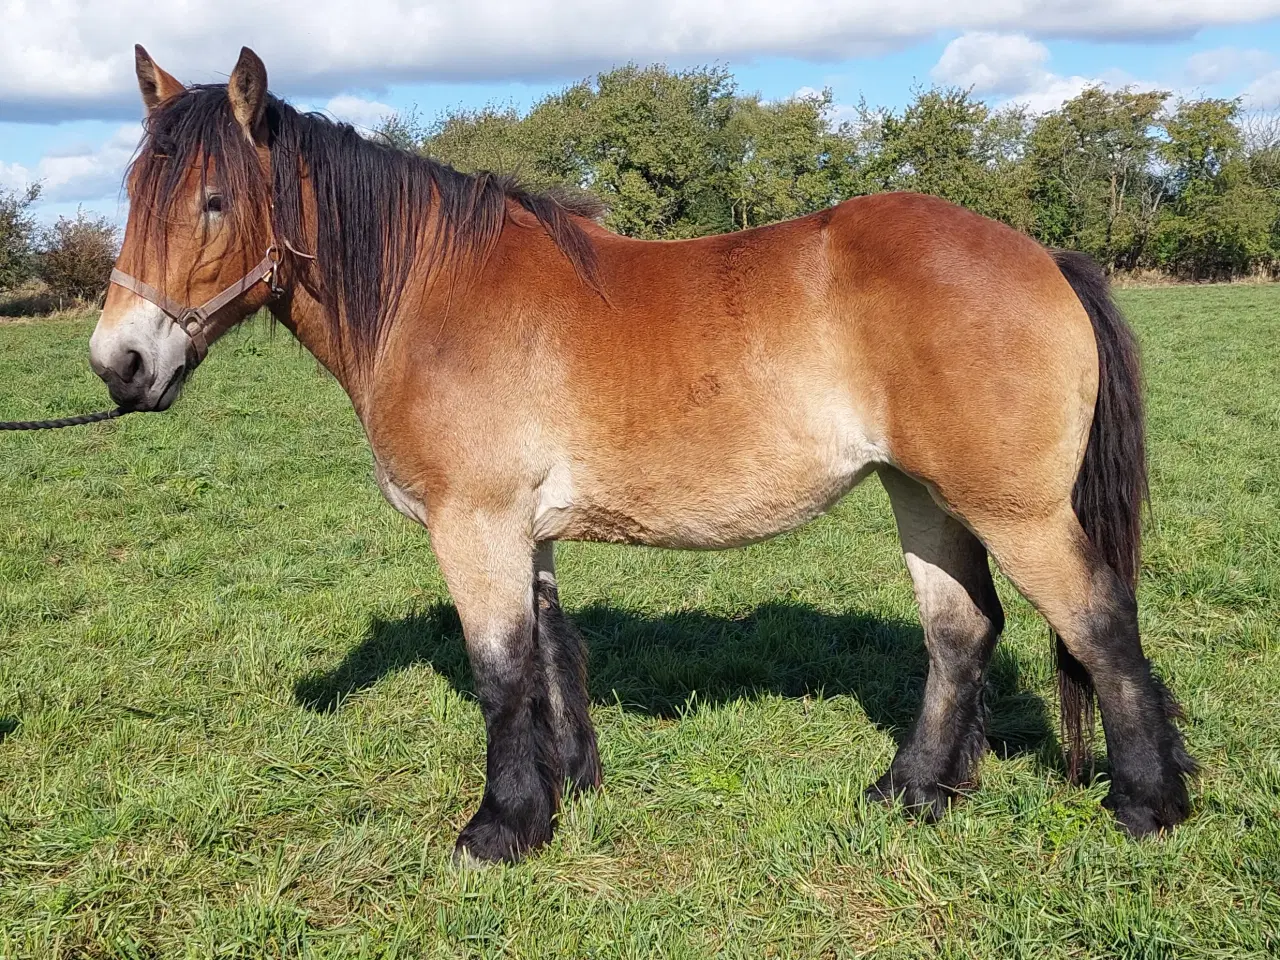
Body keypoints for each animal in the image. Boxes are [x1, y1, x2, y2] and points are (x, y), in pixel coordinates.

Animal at [90, 48, 1198, 870]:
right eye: (135, 188)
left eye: (214, 201)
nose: (120, 363)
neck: (433, 292)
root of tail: (1038, 253)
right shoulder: (520, 529)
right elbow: (550, 653)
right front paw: (566, 790)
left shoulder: (473, 523)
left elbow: (499, 668)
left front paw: (498, 829)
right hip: (921, 494)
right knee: (960, 631)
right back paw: (914, 790)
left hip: (1012, 508)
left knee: (1098, 621)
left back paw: (1146, 806)